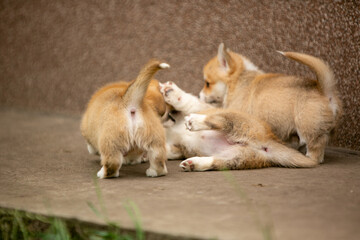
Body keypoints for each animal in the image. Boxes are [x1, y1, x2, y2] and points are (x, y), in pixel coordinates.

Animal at [201, 43, 342, 163]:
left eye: (207, 84)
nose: (200, 95)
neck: (237, 80)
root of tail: (323, 90)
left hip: (308, 127)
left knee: (315, 149)